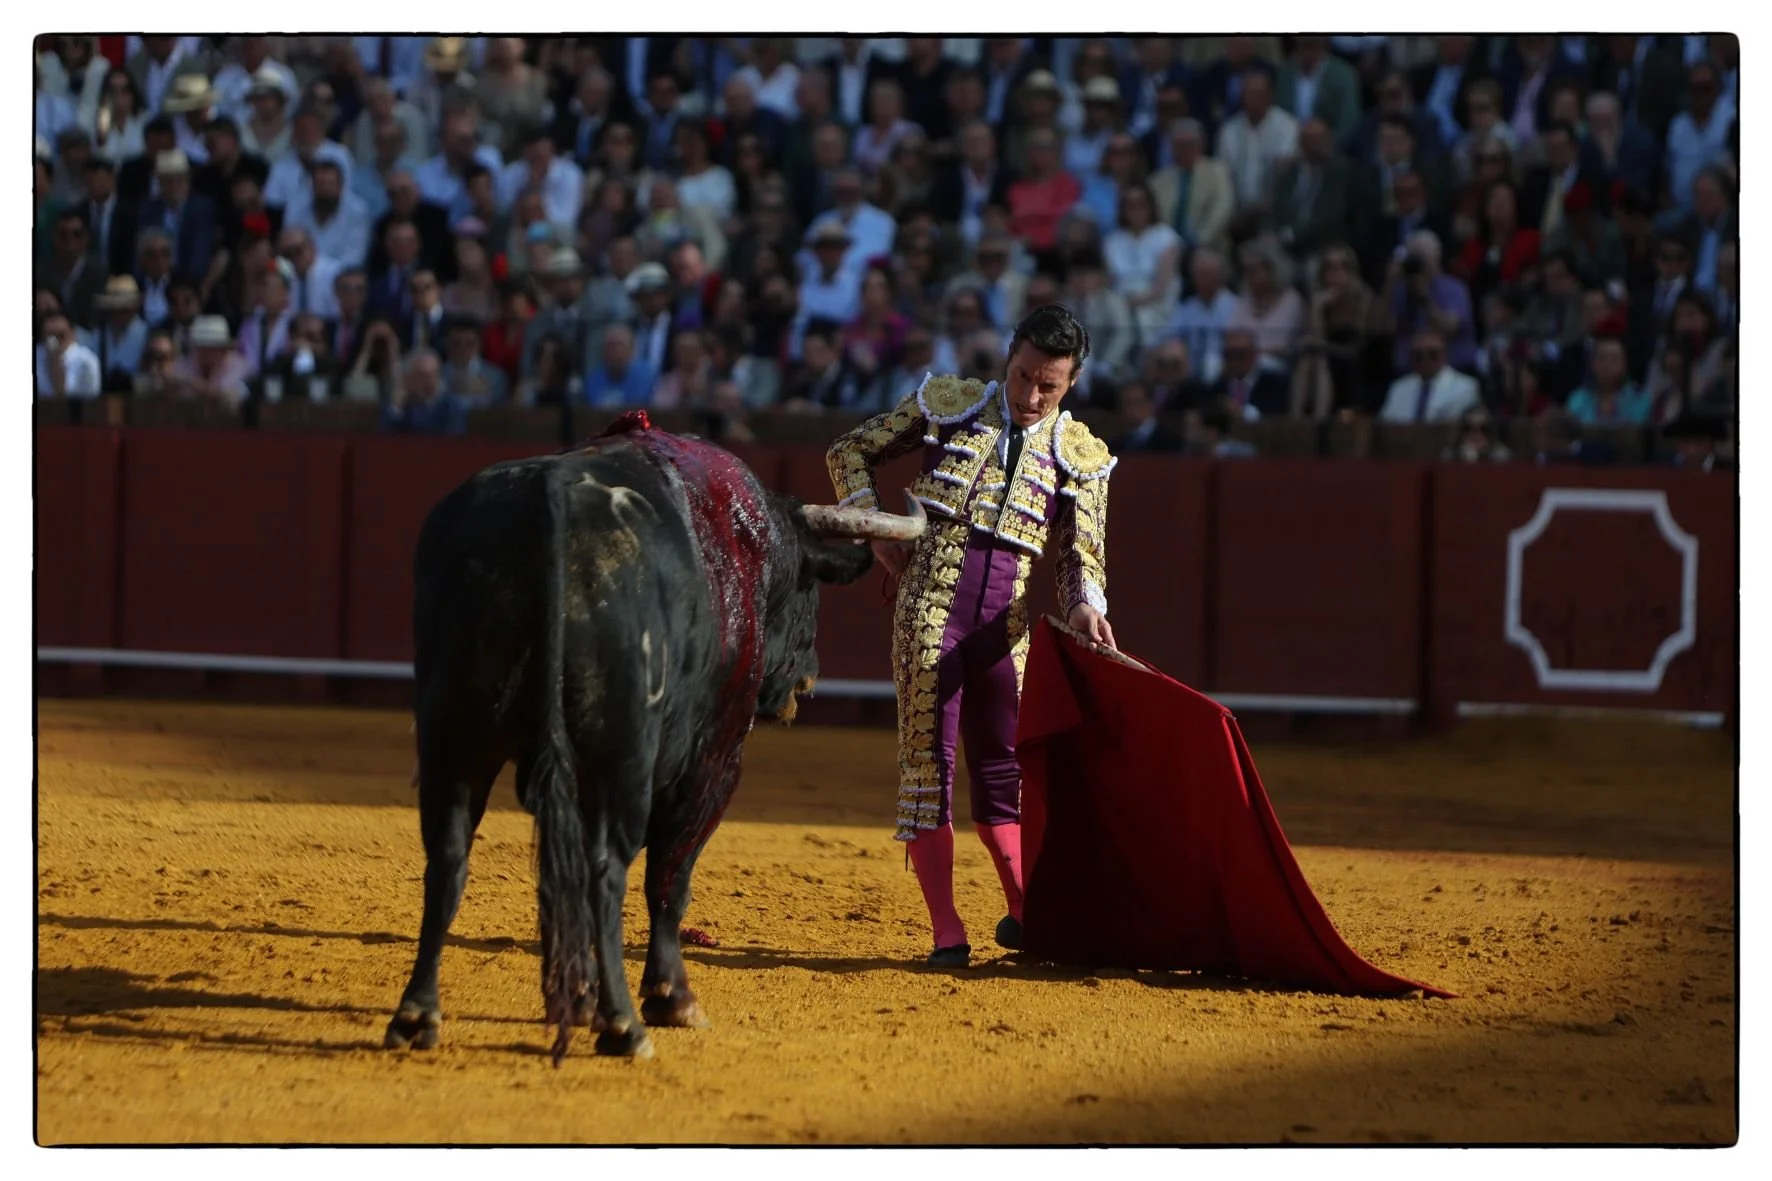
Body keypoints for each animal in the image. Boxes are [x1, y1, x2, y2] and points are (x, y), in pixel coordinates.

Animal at [382, 410, 925, 1063]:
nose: (810, 679)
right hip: (618, 759)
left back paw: (417, 1014)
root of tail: (547, 505)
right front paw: (671, 998)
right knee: (605, 869)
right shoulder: (716, 757)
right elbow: (671, 875)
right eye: (808, 589)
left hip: (453, 737)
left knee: (449, 858)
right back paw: (624, 1025)